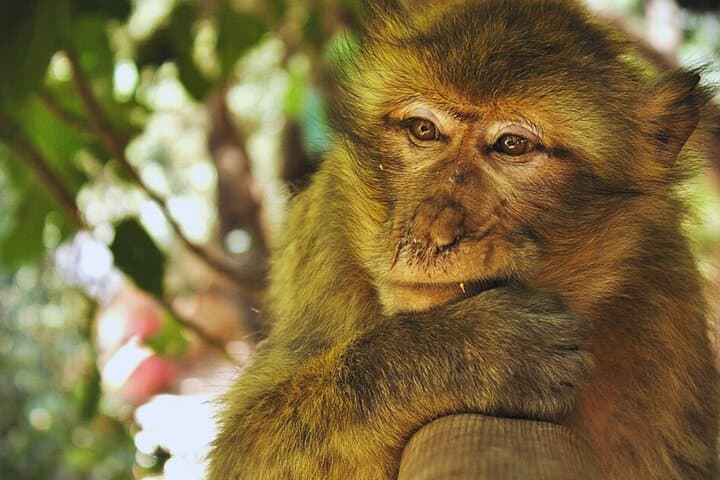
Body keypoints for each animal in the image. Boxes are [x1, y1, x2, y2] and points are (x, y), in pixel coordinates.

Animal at [207, 0, 720, 478]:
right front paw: (475, 351)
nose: (431, 230)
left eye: (512, 145)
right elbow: (243, 448)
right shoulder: (330, 235)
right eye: (424, 129)